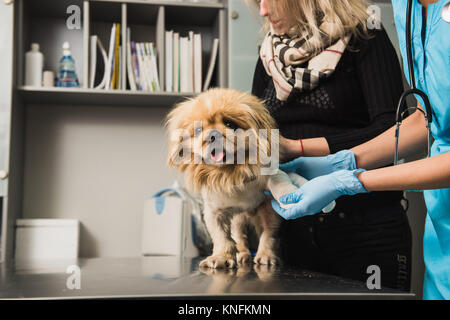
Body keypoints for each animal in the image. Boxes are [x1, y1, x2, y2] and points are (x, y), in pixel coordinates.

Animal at [167, 87, 282, 268]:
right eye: (198, 130)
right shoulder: (214, 212)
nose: (212, 135)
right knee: (238, 236)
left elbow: (268, 234)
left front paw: (266, 256)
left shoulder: (268, 206)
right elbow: (222, 238)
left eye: (230, 124)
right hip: (238, 218)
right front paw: (221, 257)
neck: (229, 174)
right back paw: (242, 254)